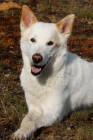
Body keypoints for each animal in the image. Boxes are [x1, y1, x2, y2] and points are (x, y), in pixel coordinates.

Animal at [12, 5, 93, 139]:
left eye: (50, 43)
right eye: (32, 40)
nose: (36, 58)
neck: (41, 80)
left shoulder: (53, 114)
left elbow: (33, 123)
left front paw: (23, 132)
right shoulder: (34, 109)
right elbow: (25, 121)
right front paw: (21, 130)